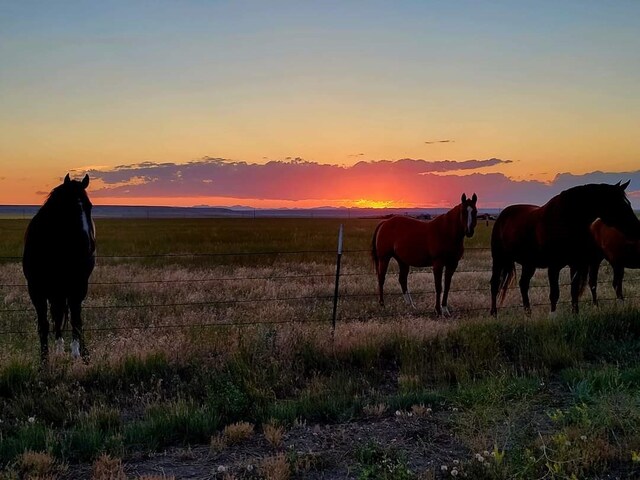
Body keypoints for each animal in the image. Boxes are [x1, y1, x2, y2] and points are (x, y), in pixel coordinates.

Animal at [23, 174, 95, 362]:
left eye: (90, 207)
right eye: (70, 208)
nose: (88, 244)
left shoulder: (77, 287)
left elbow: (76, 321)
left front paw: (78, 355)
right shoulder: (36, 290)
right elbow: (44, 324)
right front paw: (44, 359)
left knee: (73, 317)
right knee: (58, 315)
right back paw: (59, 350)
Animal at [490, 182, 640, 316]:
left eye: (628, 204)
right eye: (620, 204)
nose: (637, 228)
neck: (564, 221)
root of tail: (502, 215)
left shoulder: (575, 264)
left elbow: (574, 291)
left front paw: (575, 314)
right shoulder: (553, 267)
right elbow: (554, 293)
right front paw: (553, 316)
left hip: (529, 264)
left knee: (523, 284)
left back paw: (528, 314)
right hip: (499, 258)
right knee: (495, 284)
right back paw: (494, 314)